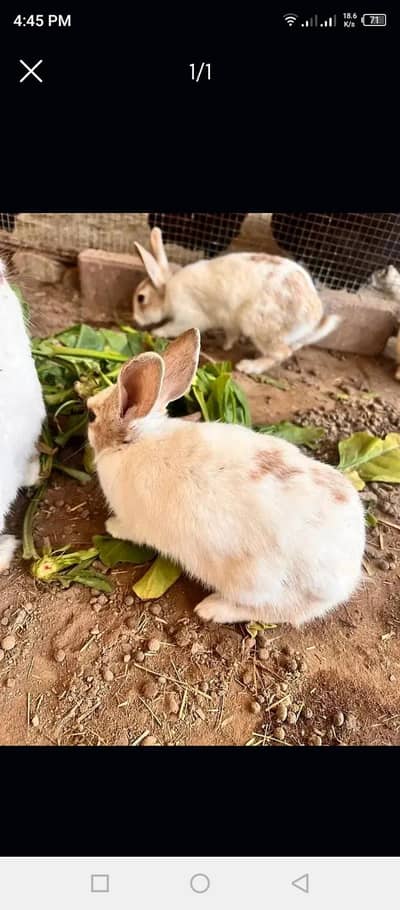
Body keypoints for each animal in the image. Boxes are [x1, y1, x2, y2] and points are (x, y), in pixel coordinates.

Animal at [87, 328, 365, 627]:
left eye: (91, 416)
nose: (87, 404)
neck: (134, 442)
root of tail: (347, 576)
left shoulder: (135, 523)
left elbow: (127, 529)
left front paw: (110, 526)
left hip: (256, 585)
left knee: (276, 612)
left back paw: (212, 608)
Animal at [132, 227, 340, 375]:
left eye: (141, 298)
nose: (136, 320)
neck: (167, 292)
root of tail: (313, 316)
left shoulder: (188, 317)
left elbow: (174, 327)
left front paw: (157, 332)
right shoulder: (229, 321)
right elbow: (231, 333)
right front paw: (227, 345)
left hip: (259, 324)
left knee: (282, 353)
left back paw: (249, 366)